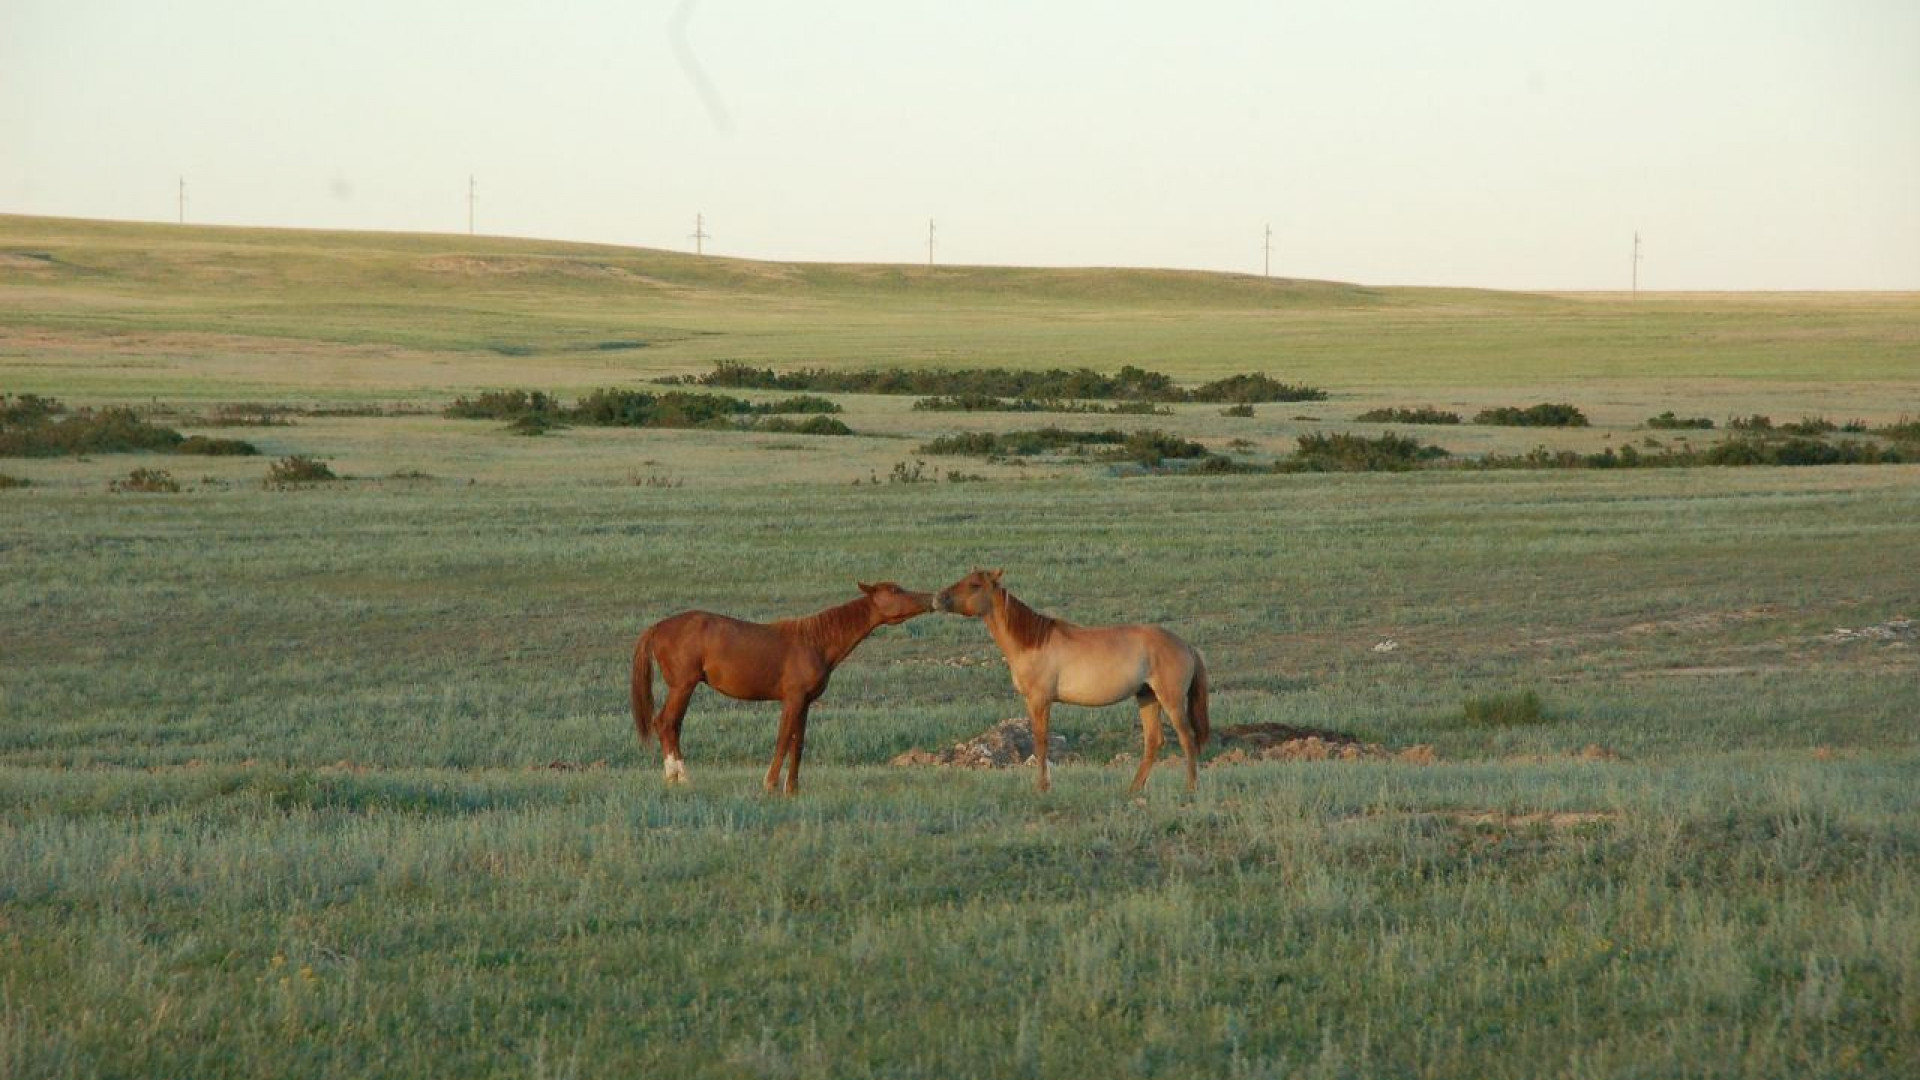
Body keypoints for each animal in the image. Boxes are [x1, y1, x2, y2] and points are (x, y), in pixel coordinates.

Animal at [633, 580, 933, 791]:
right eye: (894, 590)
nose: (931, 598)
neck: (815, 640)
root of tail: (657, 628)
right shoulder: (793, 699)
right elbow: (783, 739)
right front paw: (770, 784)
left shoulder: (805, 703)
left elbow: (797, 743)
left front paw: (793, 789)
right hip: (683, 686)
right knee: (667, 723)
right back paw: (680, 778)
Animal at [933, 572, 1213, 791]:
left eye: (974, 585)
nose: (937, 598)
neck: (1033, 641)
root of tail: (1186, 645)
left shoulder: (1040, 701)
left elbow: (1041, 742)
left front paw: (1042, 787)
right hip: (1147, 697)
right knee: (1153, 742)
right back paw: (1133, 790)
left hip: (1171, 700)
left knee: (1187, 739)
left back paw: (1190, 789)